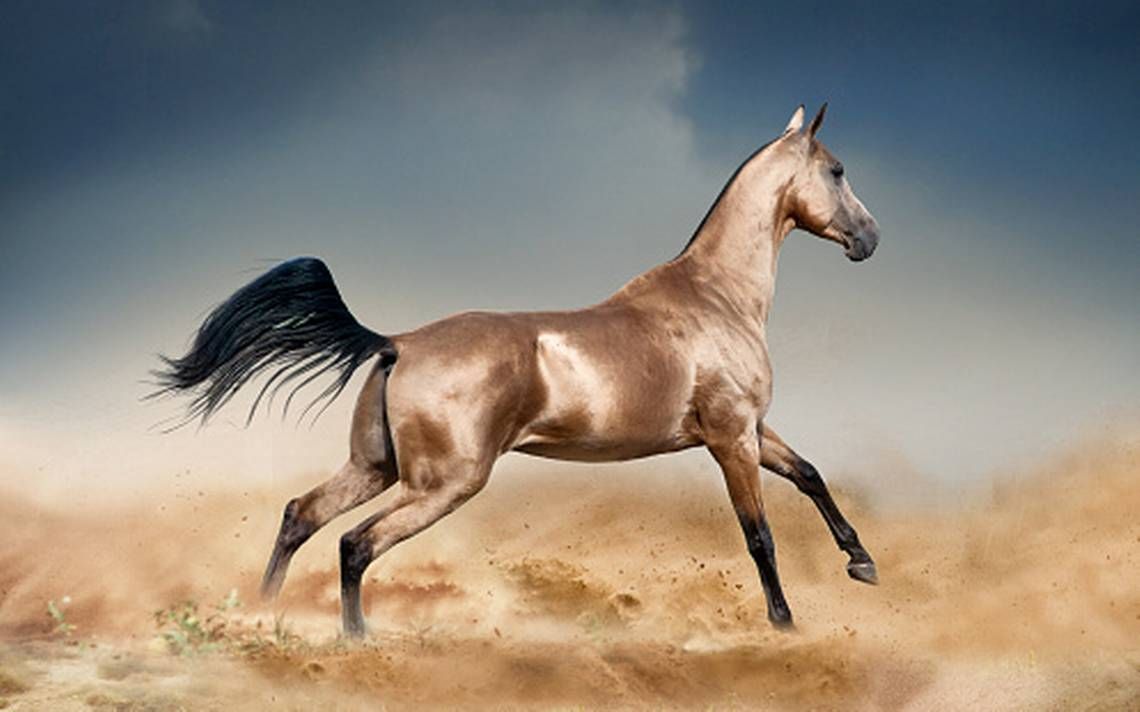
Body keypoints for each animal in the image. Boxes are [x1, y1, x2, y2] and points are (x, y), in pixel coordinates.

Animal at [153, 103, 881, 637]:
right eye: (838, 169)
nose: (870, 238)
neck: (717, 297)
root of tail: (397, 343)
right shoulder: (730, 438)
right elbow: (759, 535)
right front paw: (785, 624)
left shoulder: (751, 430)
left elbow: (810, 476)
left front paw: (862, 563)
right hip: (444, 484)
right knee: (355, 543)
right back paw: (356, 639)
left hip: (375, 468)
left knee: (300, 517)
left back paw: (264, 611)